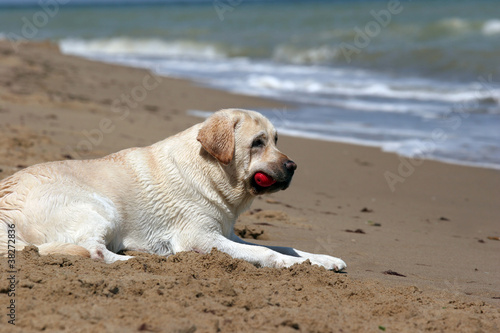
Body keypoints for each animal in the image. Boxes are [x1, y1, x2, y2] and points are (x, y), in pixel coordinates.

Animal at [0, 109, 344, 270]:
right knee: (92, 250)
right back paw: (133, 261)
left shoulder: (228, 234)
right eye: (257, 143)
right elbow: (266, 252)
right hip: (100, 208)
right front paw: (298, 265)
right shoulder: (203, 238)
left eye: (276, 140)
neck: (211, 173)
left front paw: (322, 259)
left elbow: (286, 246)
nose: (293, 166)